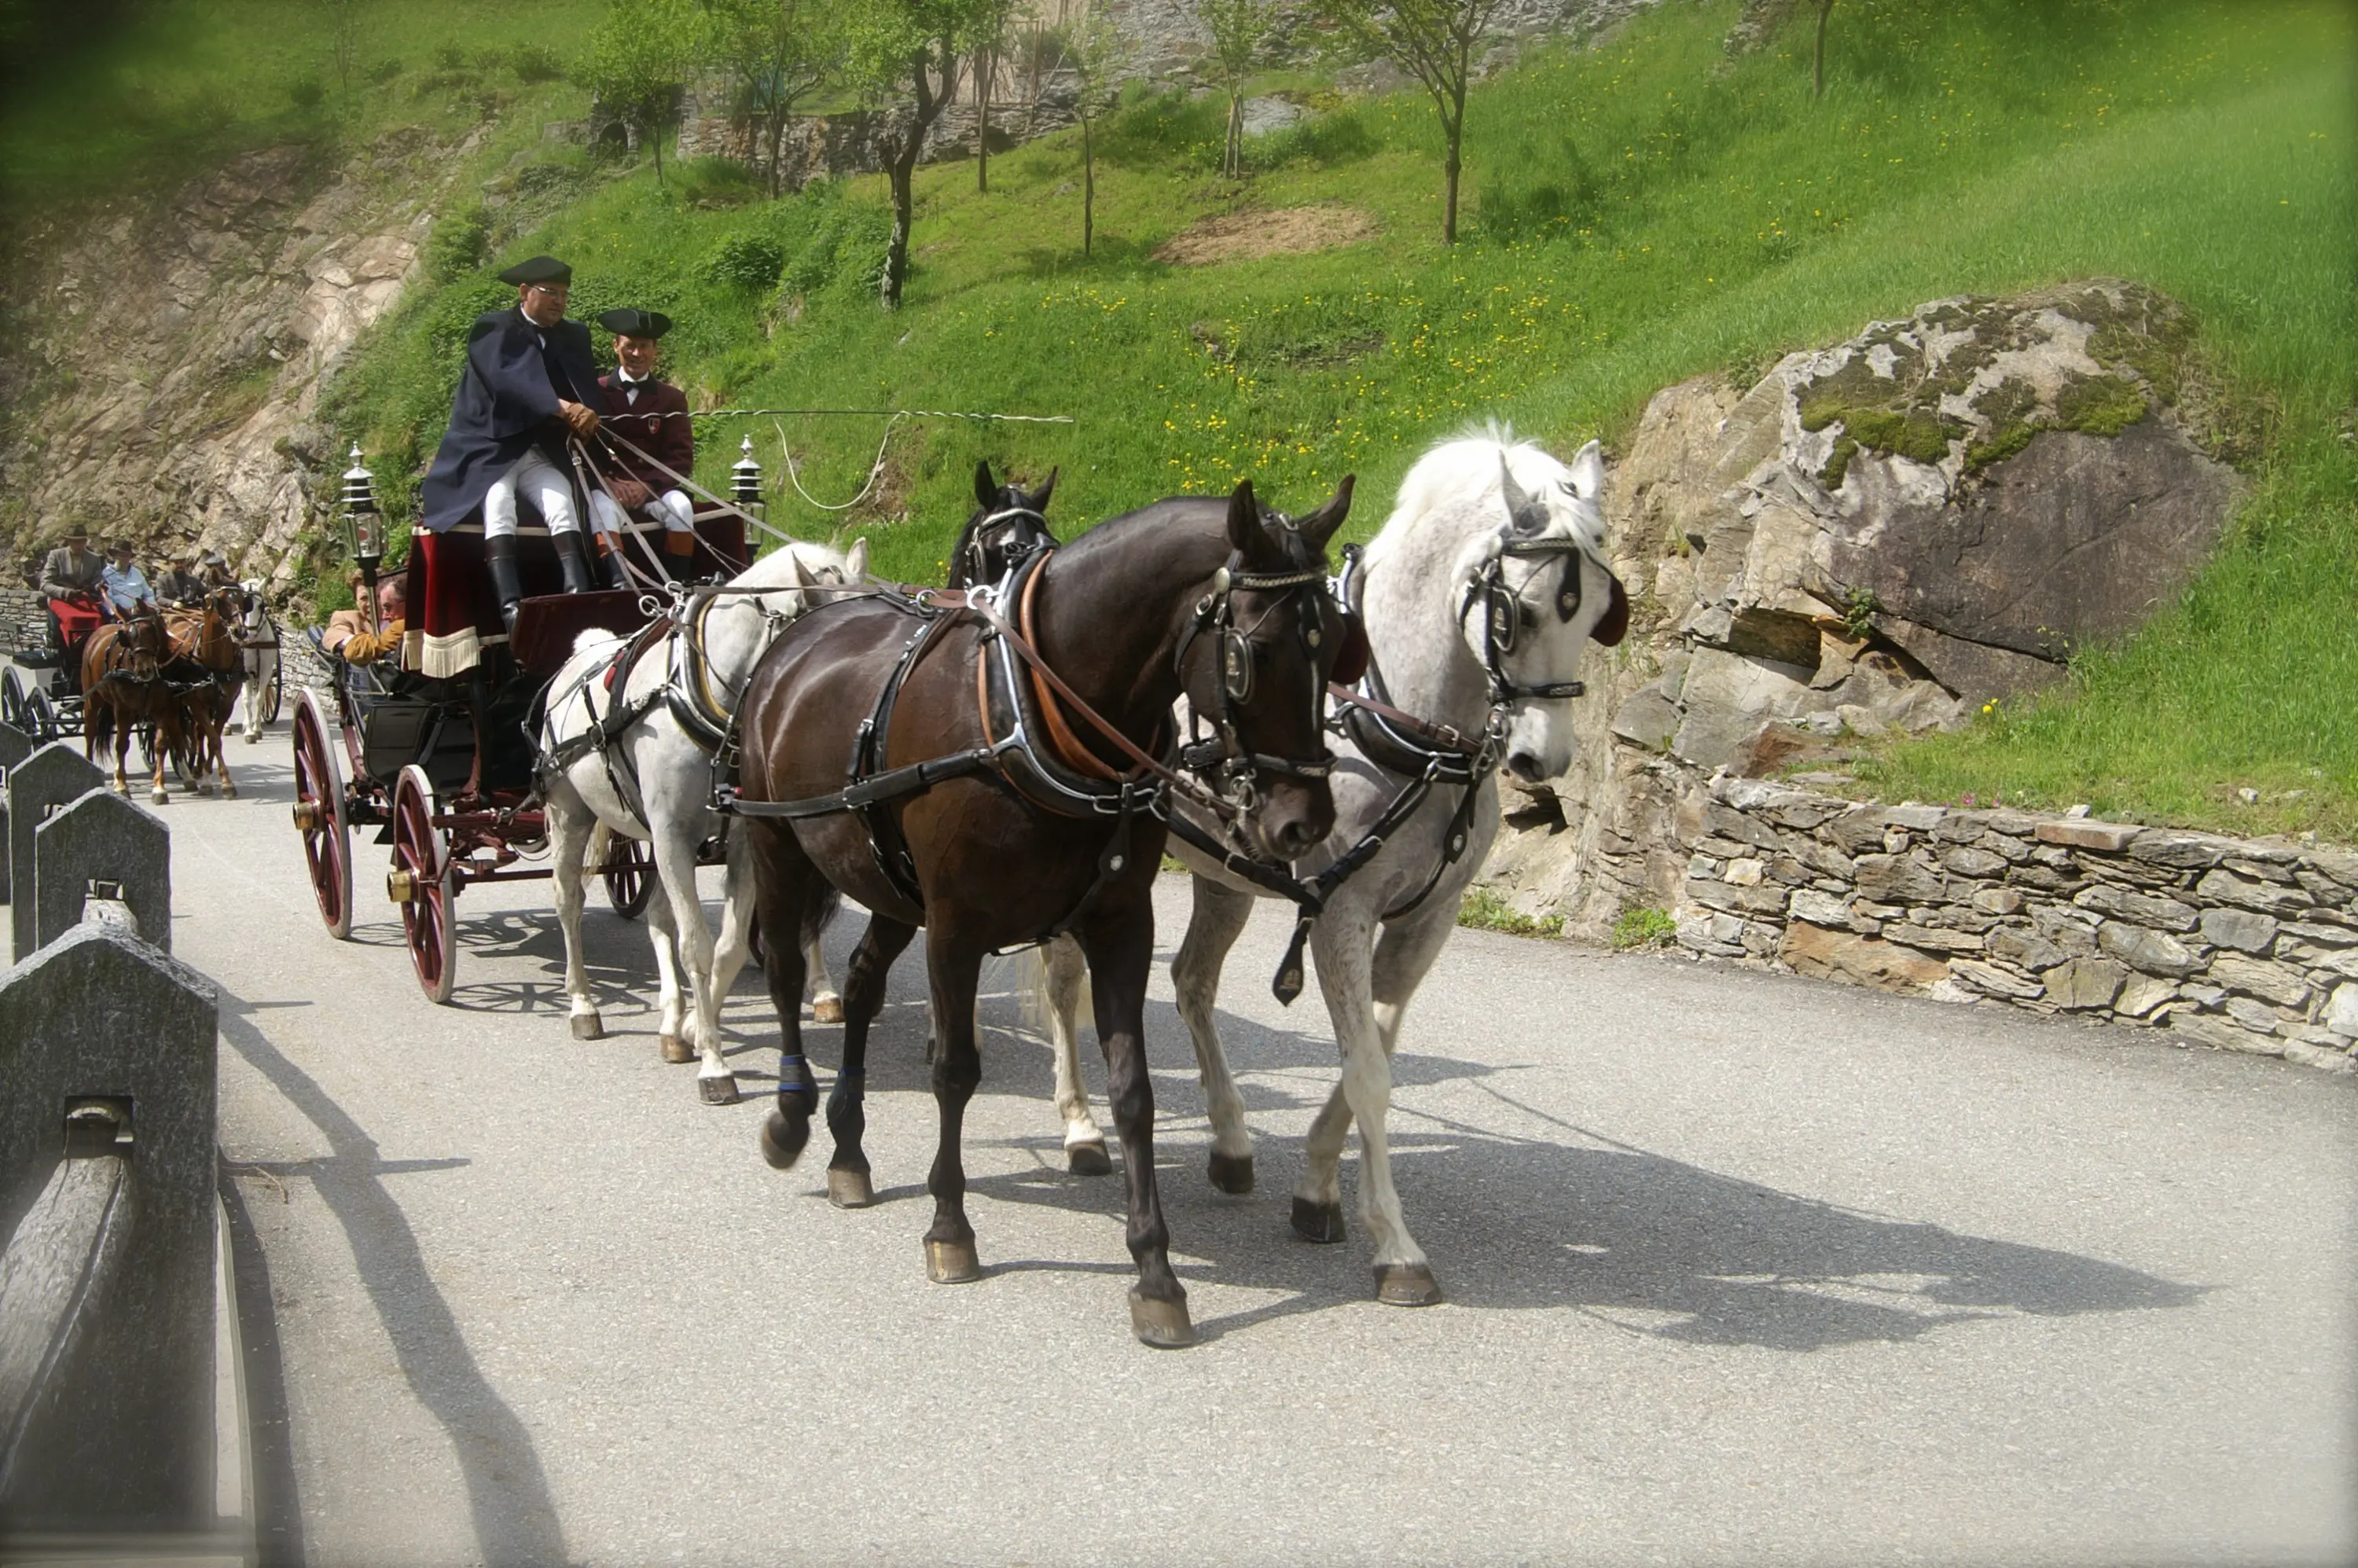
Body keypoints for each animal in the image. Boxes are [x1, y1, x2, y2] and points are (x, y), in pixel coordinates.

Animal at [79, 613, 178, 804]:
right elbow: (121, 745)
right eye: (129, 637)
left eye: (153, 632)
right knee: (90, 732)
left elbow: (160, 744)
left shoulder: (162, 708)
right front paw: (121, 786)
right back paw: (89, 765)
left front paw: (159, 788)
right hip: (92, 699)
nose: (145, 669)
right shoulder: (123, 710)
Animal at [538, 537, 867, 1103]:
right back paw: (582, 1003)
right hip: (570, 815)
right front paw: (714, 1063)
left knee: (657, 917)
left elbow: (728, 949)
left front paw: (694, 1027)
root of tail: (581, 653)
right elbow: (697, 946)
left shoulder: (742, 843)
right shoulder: (672, 836)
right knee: (569, 903)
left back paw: (672, 1020)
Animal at [734, 476, 1353, 1348]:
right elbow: (955, 1071)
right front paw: (950, 1228)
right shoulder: (956, 929)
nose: (1303, 824)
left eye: (1335, 644)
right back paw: (792, 1119)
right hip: (777, 845)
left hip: (889, 885)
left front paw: (1155, 1271)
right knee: (789, 974)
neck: (1032, 707)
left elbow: (1134, 1091)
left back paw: (848, 1151)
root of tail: (804, 629)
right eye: (1251, 654)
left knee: (858, 984)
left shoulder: (1122, 924)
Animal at [1028, 430, 1629, 1307]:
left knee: (1192, 983)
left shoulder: (1426, 921)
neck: (1408, 728)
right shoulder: (1342, 912)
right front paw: (1397, 1248)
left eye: (1597, 608)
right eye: (1518, 612)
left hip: (1225, 876)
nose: (1539, 759)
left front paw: (1315, 1187)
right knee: (1064, 982)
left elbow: (1371, 1053)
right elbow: (1370, 1073)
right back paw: (1077, 1124)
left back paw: (1230, 1140)